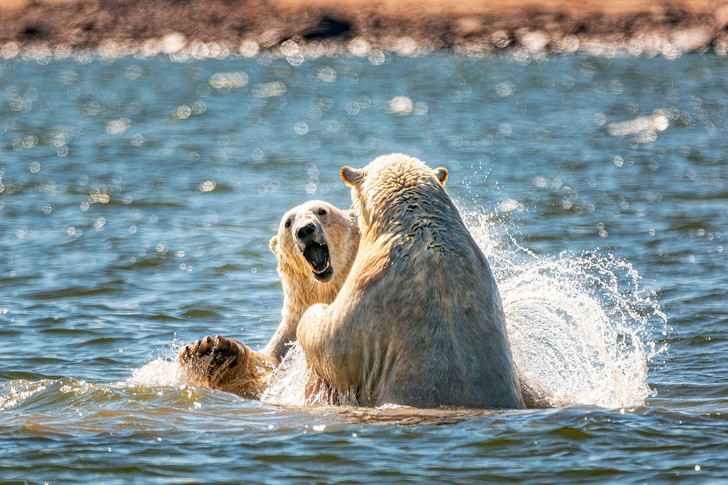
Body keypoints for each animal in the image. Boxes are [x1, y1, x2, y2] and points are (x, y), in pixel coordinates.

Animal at [177, 199, 358, 398]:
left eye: (322, 211)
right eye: (288, 223)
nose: (304, 230)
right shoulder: (290, 332)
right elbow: (265, 373)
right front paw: (210, 351)